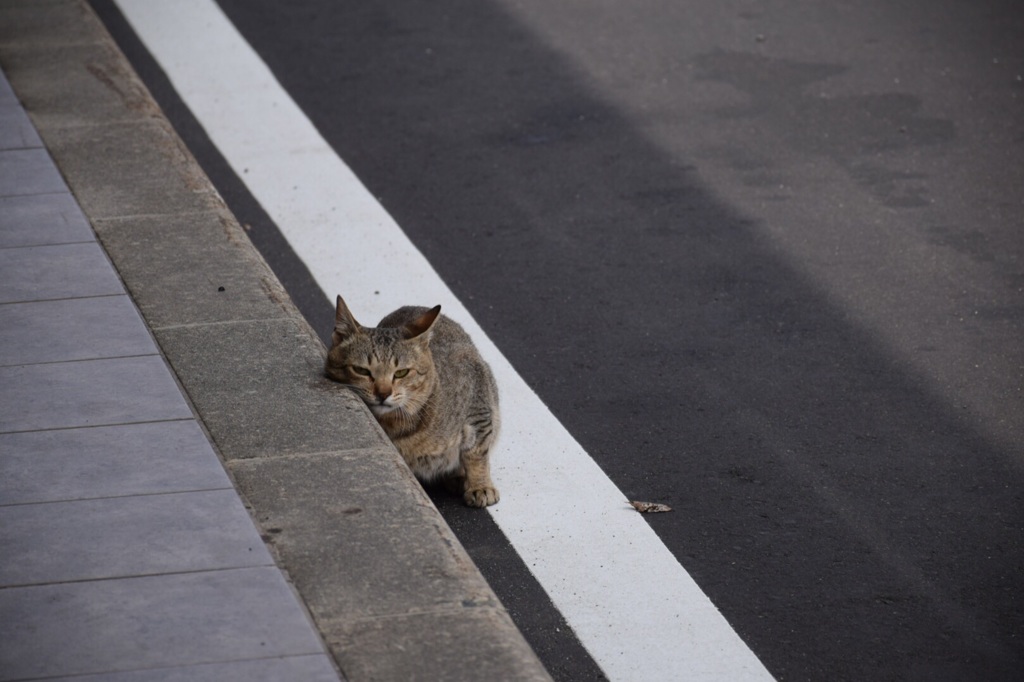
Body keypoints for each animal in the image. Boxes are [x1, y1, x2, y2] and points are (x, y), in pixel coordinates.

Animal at [325, 292, 501, 503]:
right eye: (361, 370)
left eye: (401, 372)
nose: (383, 393)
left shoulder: (478, 402)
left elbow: (477, 452)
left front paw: (480, 485)